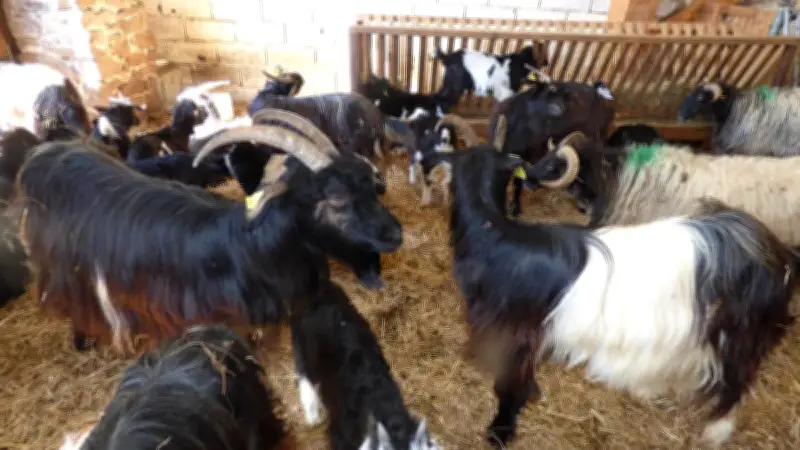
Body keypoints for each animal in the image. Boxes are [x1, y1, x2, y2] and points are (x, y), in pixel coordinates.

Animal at [14, 110, 402, 352]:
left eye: (370, 183)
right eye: (336, 198)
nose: (395, 234)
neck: (249, 248)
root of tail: (43, 157)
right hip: (63, 266)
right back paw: (84, 341)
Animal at [449, 145, 795, 448]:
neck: (497, 237)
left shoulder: (518, 334)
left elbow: (510, 388)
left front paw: (499, 432)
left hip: (738, 333)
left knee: (738, 377)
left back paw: (716, 430)